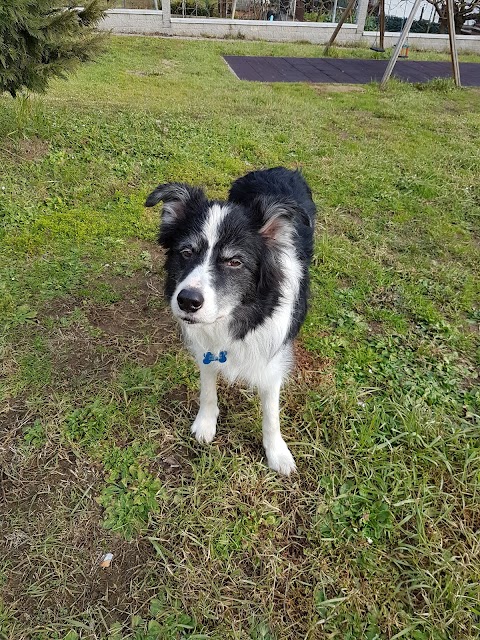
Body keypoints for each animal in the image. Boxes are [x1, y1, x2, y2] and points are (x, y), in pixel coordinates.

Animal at [148, 166, 316, 476]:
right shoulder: (206, 348)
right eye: (186, 252)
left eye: (234, 262)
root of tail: (276, 168)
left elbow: (271, 412)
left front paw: (277, 453)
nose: (187, 301)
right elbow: (207, 389)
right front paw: (205, 423)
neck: (238, 315)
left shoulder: (273, 359)